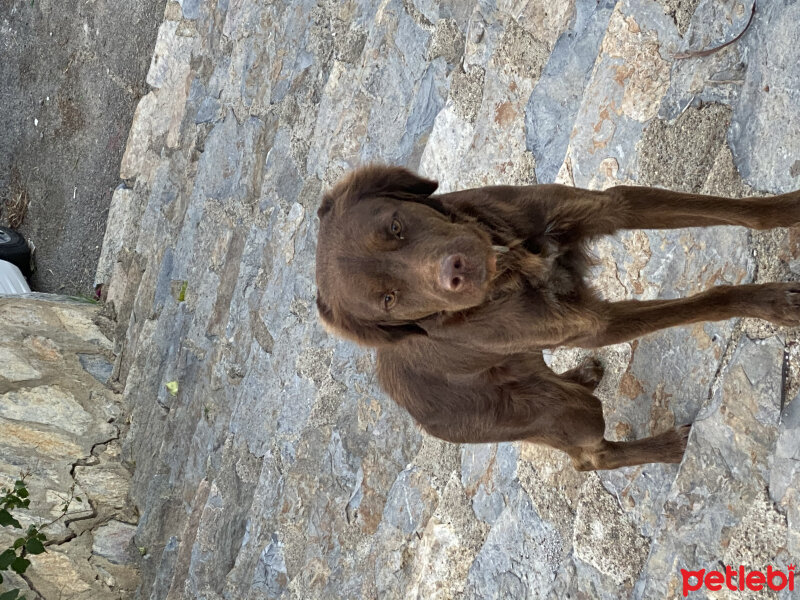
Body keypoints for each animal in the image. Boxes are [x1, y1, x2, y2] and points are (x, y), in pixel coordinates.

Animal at [316, 164, 796, 468]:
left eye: (396, 226)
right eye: (388, 299)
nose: (456, 270)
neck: (510, 266)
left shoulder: (607, 206)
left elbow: (746, 213)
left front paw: (791, 207)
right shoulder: (596, 323)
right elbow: (710, 300)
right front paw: (774, 302)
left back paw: (582, 374)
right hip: (557, 410)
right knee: (590, 458)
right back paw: (666, 446)